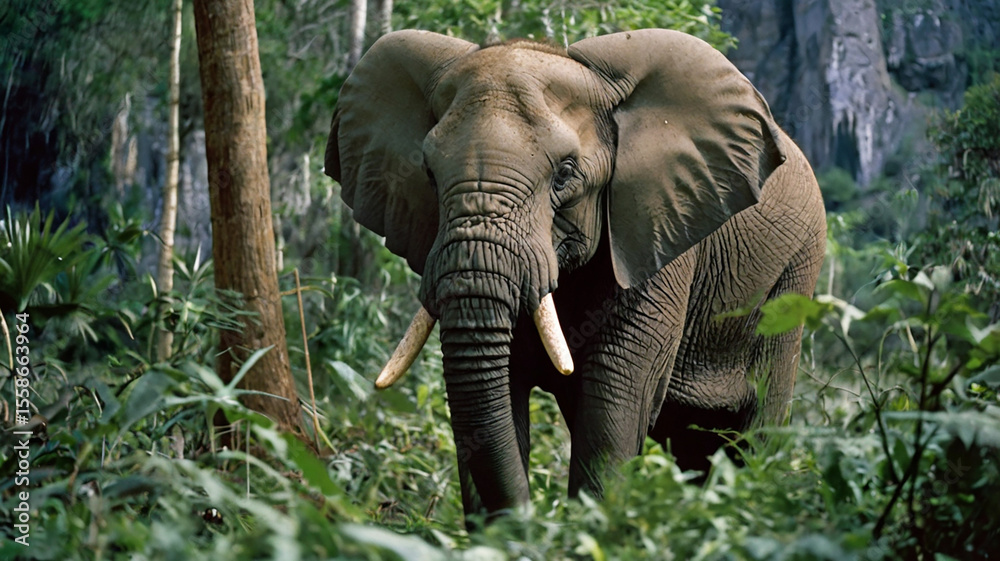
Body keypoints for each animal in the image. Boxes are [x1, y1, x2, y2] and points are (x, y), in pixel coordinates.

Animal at [324, 28, 826, 523]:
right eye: (428, 173)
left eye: (565, 174)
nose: (528, 524)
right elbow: (498, 391)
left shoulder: (658, 232)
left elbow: (615, 397)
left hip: (795, 276)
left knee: (757, 426)